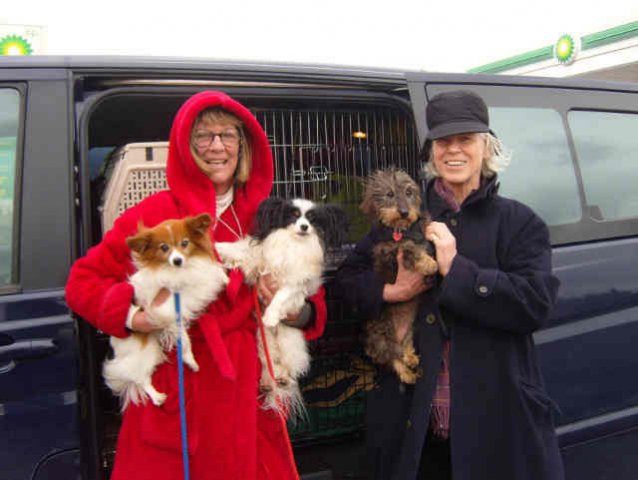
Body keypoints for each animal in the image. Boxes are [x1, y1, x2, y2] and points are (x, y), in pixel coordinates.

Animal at [102, 214, 228, 408]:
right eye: (164, 248)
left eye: (185, 243)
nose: (177, 260)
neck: (181, 271)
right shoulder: (167, 313)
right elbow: (185, 340)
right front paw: (190, 360)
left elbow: (213, 271)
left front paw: (224, 277)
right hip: (145, 353)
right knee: (140, 378)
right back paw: (156, 396)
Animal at [219, 198, 350, 416]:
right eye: (294, 215)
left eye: (311, 219)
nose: (304, 227)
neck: (293, 244)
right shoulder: (258, 261)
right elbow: (241, 249)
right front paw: (217, 246)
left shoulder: (295, 285)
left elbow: (280, 297)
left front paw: (271, 316)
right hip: (263, 346)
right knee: (269, 365)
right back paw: (267, 381)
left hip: (290, 345)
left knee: (291, 368)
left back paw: (284, 378)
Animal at [360, 169, 440, 382]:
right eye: (389, 194)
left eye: (409, 192)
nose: (404, 212)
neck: (401, 229)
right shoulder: (392, 251)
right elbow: (411, 247)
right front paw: (430, 264)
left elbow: (424, 224)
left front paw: (428, 224)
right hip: (381, 336)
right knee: (392, 356)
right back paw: (406, 371)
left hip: (410, 328)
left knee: (403, 347)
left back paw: (411, 359)